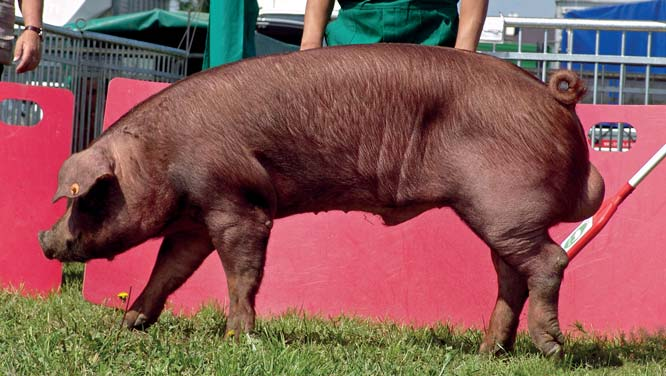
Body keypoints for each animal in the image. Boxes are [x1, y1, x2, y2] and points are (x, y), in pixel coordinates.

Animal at [36, 42, 600, 356]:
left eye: (86, 197)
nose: (44, 240)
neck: (161, 157)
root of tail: (554, 96)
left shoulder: (238, 204)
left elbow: (242, 273)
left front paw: (237, 338)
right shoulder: (196, 221)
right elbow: (167, 272)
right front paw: (129, 326)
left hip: (504, 207)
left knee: (550, 260)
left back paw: (550, 348)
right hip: (500, 217)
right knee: (512, 275)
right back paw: (488, 353)